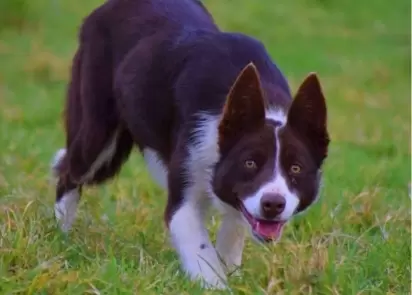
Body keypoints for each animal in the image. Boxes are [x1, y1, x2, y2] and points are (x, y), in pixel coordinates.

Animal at [51, 0, 330, 290]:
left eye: (296, 168)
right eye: (250, 163)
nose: (273, 205)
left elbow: (233, 229)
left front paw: (231, 271)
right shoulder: (185, 195)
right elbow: (200, 250)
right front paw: (217, 285)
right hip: (98, 136)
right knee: (69, 171)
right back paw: (62, 235)